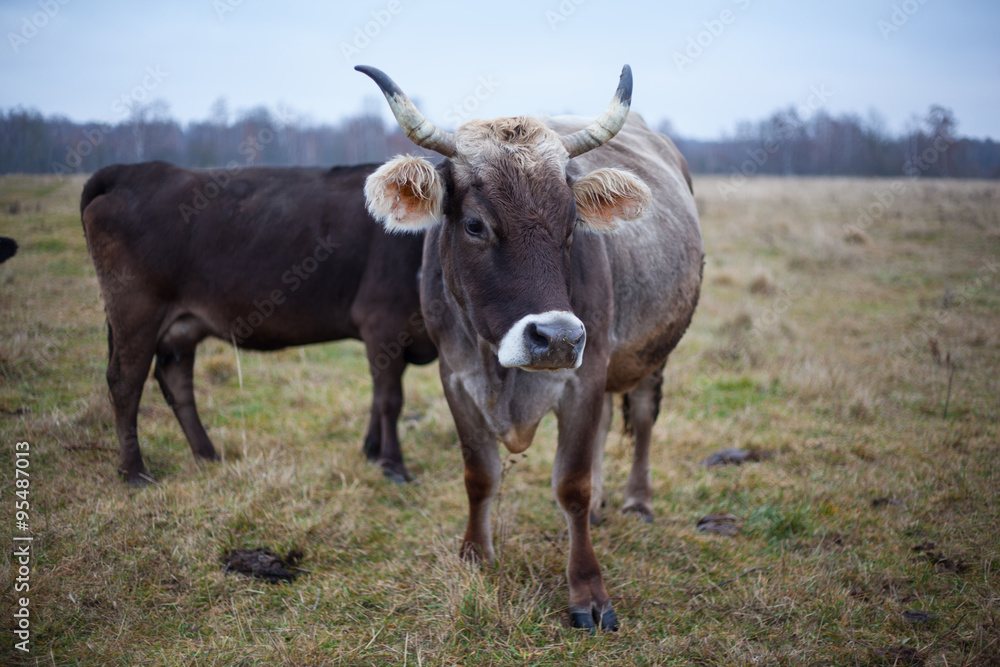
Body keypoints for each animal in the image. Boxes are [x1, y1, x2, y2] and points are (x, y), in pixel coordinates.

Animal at [78, 162, 438, 486]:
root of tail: (132, 171)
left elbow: (377, 396)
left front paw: (371, 452)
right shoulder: (382, 322)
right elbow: (390, 400)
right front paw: (393, 465)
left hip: (180, 326)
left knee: (176, 381)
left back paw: (207, 455)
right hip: (136, 311)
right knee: (125, 383)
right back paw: (134, 472)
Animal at [358, 65, 704, 636]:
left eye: (571, 228)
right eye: (475, 224)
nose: (558, 337)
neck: (501, 371)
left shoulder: (582, 377)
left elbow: (572, 485)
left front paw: (588, 591)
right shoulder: (456, 379)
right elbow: (480, 475)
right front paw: (475, 557)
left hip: (652, 351)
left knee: (643, 416)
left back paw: (636, 500)